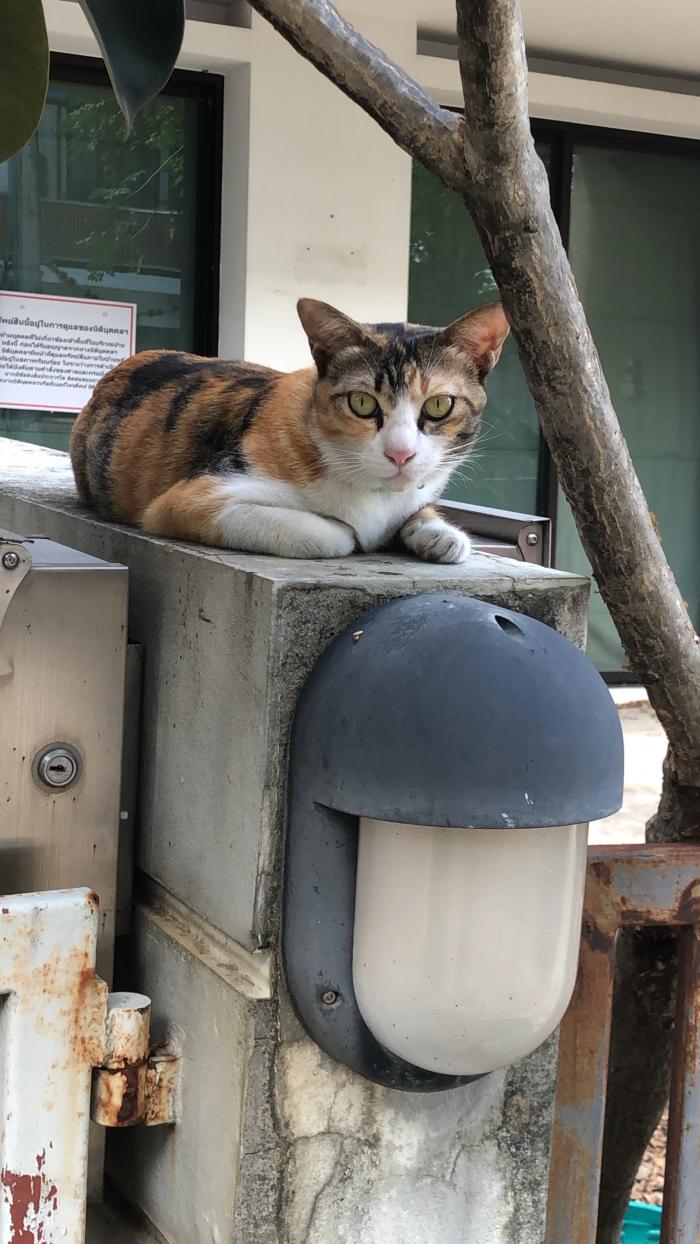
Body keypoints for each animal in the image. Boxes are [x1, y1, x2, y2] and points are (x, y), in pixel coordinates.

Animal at [70, 298, 509, 562]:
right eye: (361, 403)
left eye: (438, 405)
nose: (400, 454)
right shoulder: (190, 499)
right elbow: (336, 536)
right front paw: (353, 530)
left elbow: (423, 512)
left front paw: (441, 535)